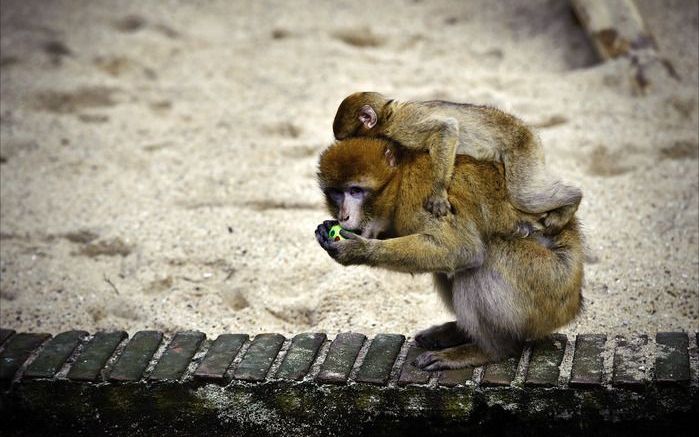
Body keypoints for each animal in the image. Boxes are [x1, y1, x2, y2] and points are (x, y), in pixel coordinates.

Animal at [314, 137, 584, 368]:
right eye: (337, 193)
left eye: (355, 191)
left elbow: (461, 249)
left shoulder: (420, 191)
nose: (343, 216)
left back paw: (489, 350)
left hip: (548, 283)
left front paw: (357, 250)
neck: (401, 180)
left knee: (484, 259)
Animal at [330, 91, 584, 235]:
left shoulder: (403, 126)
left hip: (524, 147)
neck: (388, 115)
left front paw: (438, 192)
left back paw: (573, 198)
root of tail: (528, 130)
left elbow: (446, 128)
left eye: (346, 138)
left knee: (523, 195)